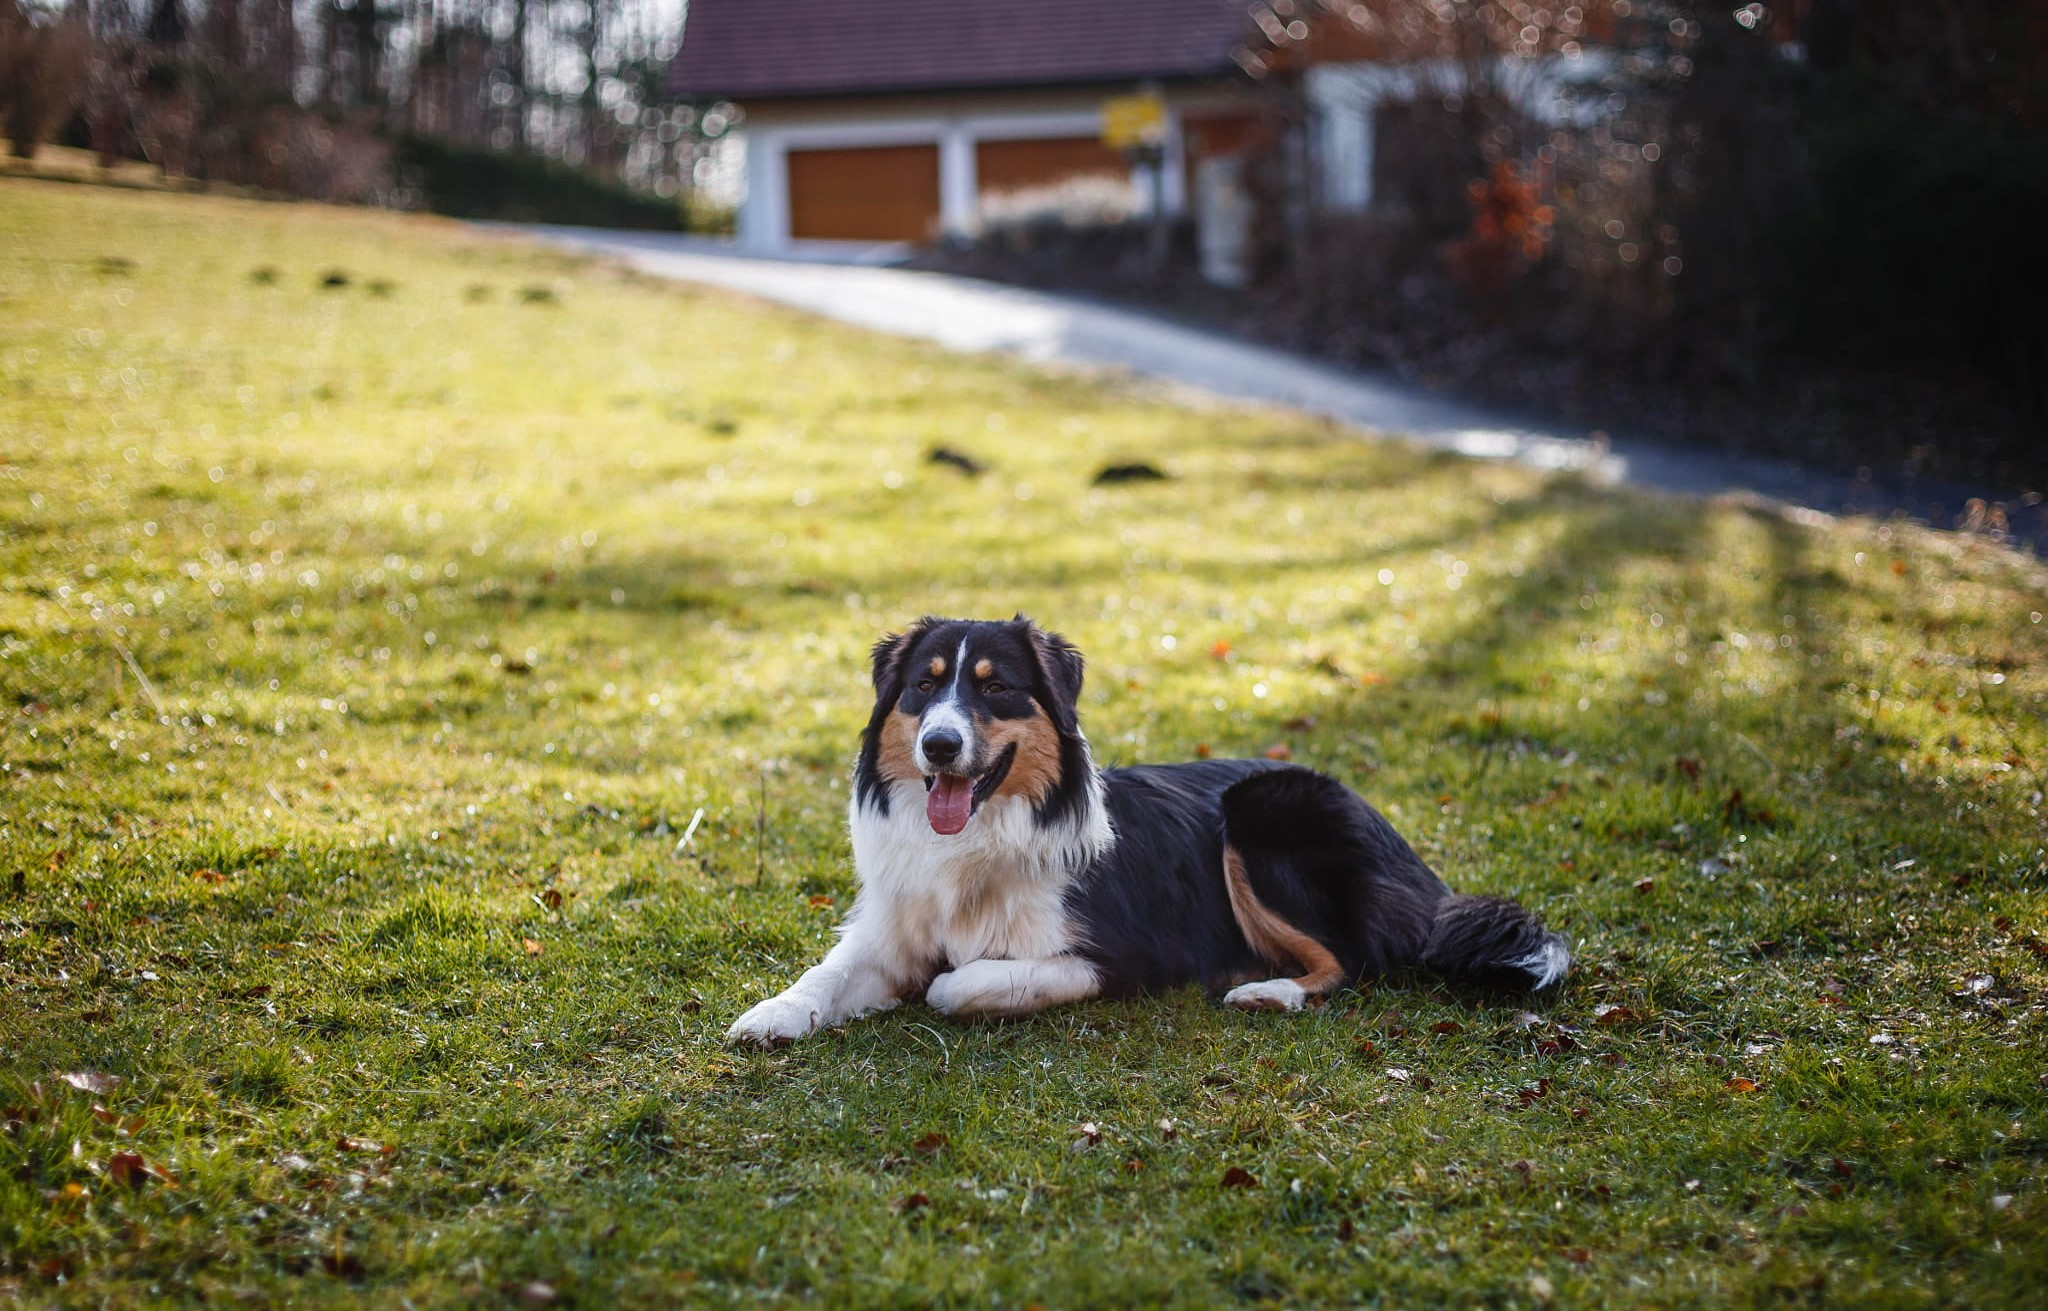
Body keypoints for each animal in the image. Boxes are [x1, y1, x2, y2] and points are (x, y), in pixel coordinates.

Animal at [729, 618, 1572, 1044]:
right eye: (923, 686)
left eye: (996, 689)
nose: (939, 745)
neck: (977, 838)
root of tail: (1420, 869)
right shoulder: (893, 924)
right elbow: (830, 971)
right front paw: (773, 1013)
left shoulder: (1113, 954)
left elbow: (957, 983)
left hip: (1263, 809)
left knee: (1355, 959)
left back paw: (1265, 989)